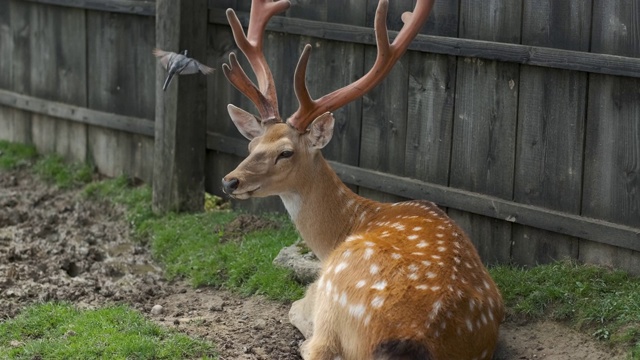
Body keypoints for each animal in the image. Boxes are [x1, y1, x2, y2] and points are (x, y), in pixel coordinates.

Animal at [220, 0, 504, 358]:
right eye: (251, 145)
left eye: (286, 152)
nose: (230, 181)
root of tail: (413, 340)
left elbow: (295, 307)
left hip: (335, 288)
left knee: (316, 343)